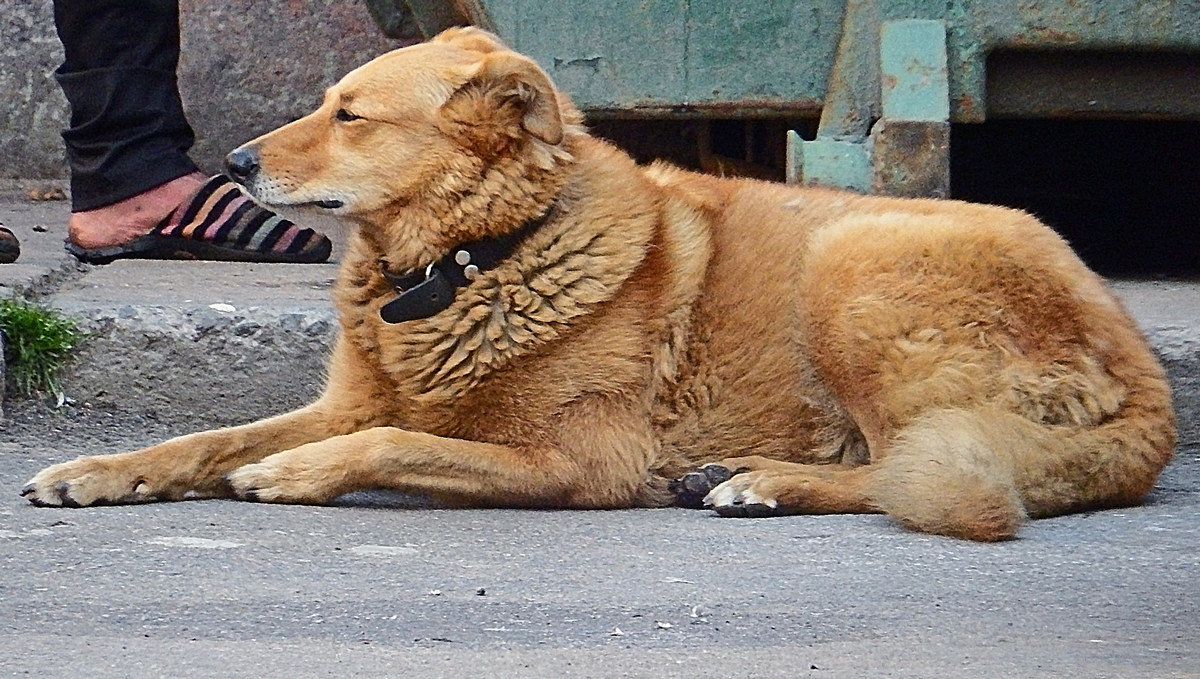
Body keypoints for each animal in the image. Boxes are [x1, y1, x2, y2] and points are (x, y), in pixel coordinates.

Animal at [18, 27, 1176, 542]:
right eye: (324, 102)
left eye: (352, 115)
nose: (233, 163)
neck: (468, 263)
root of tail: (1147, 377)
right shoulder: (347, 397)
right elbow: (200, 440)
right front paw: (99, 472)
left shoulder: (583, 461)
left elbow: (390, 442)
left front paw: (297, 475)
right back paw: (737, 472)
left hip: (851, 261)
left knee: (907, 469)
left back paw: (758, 482)